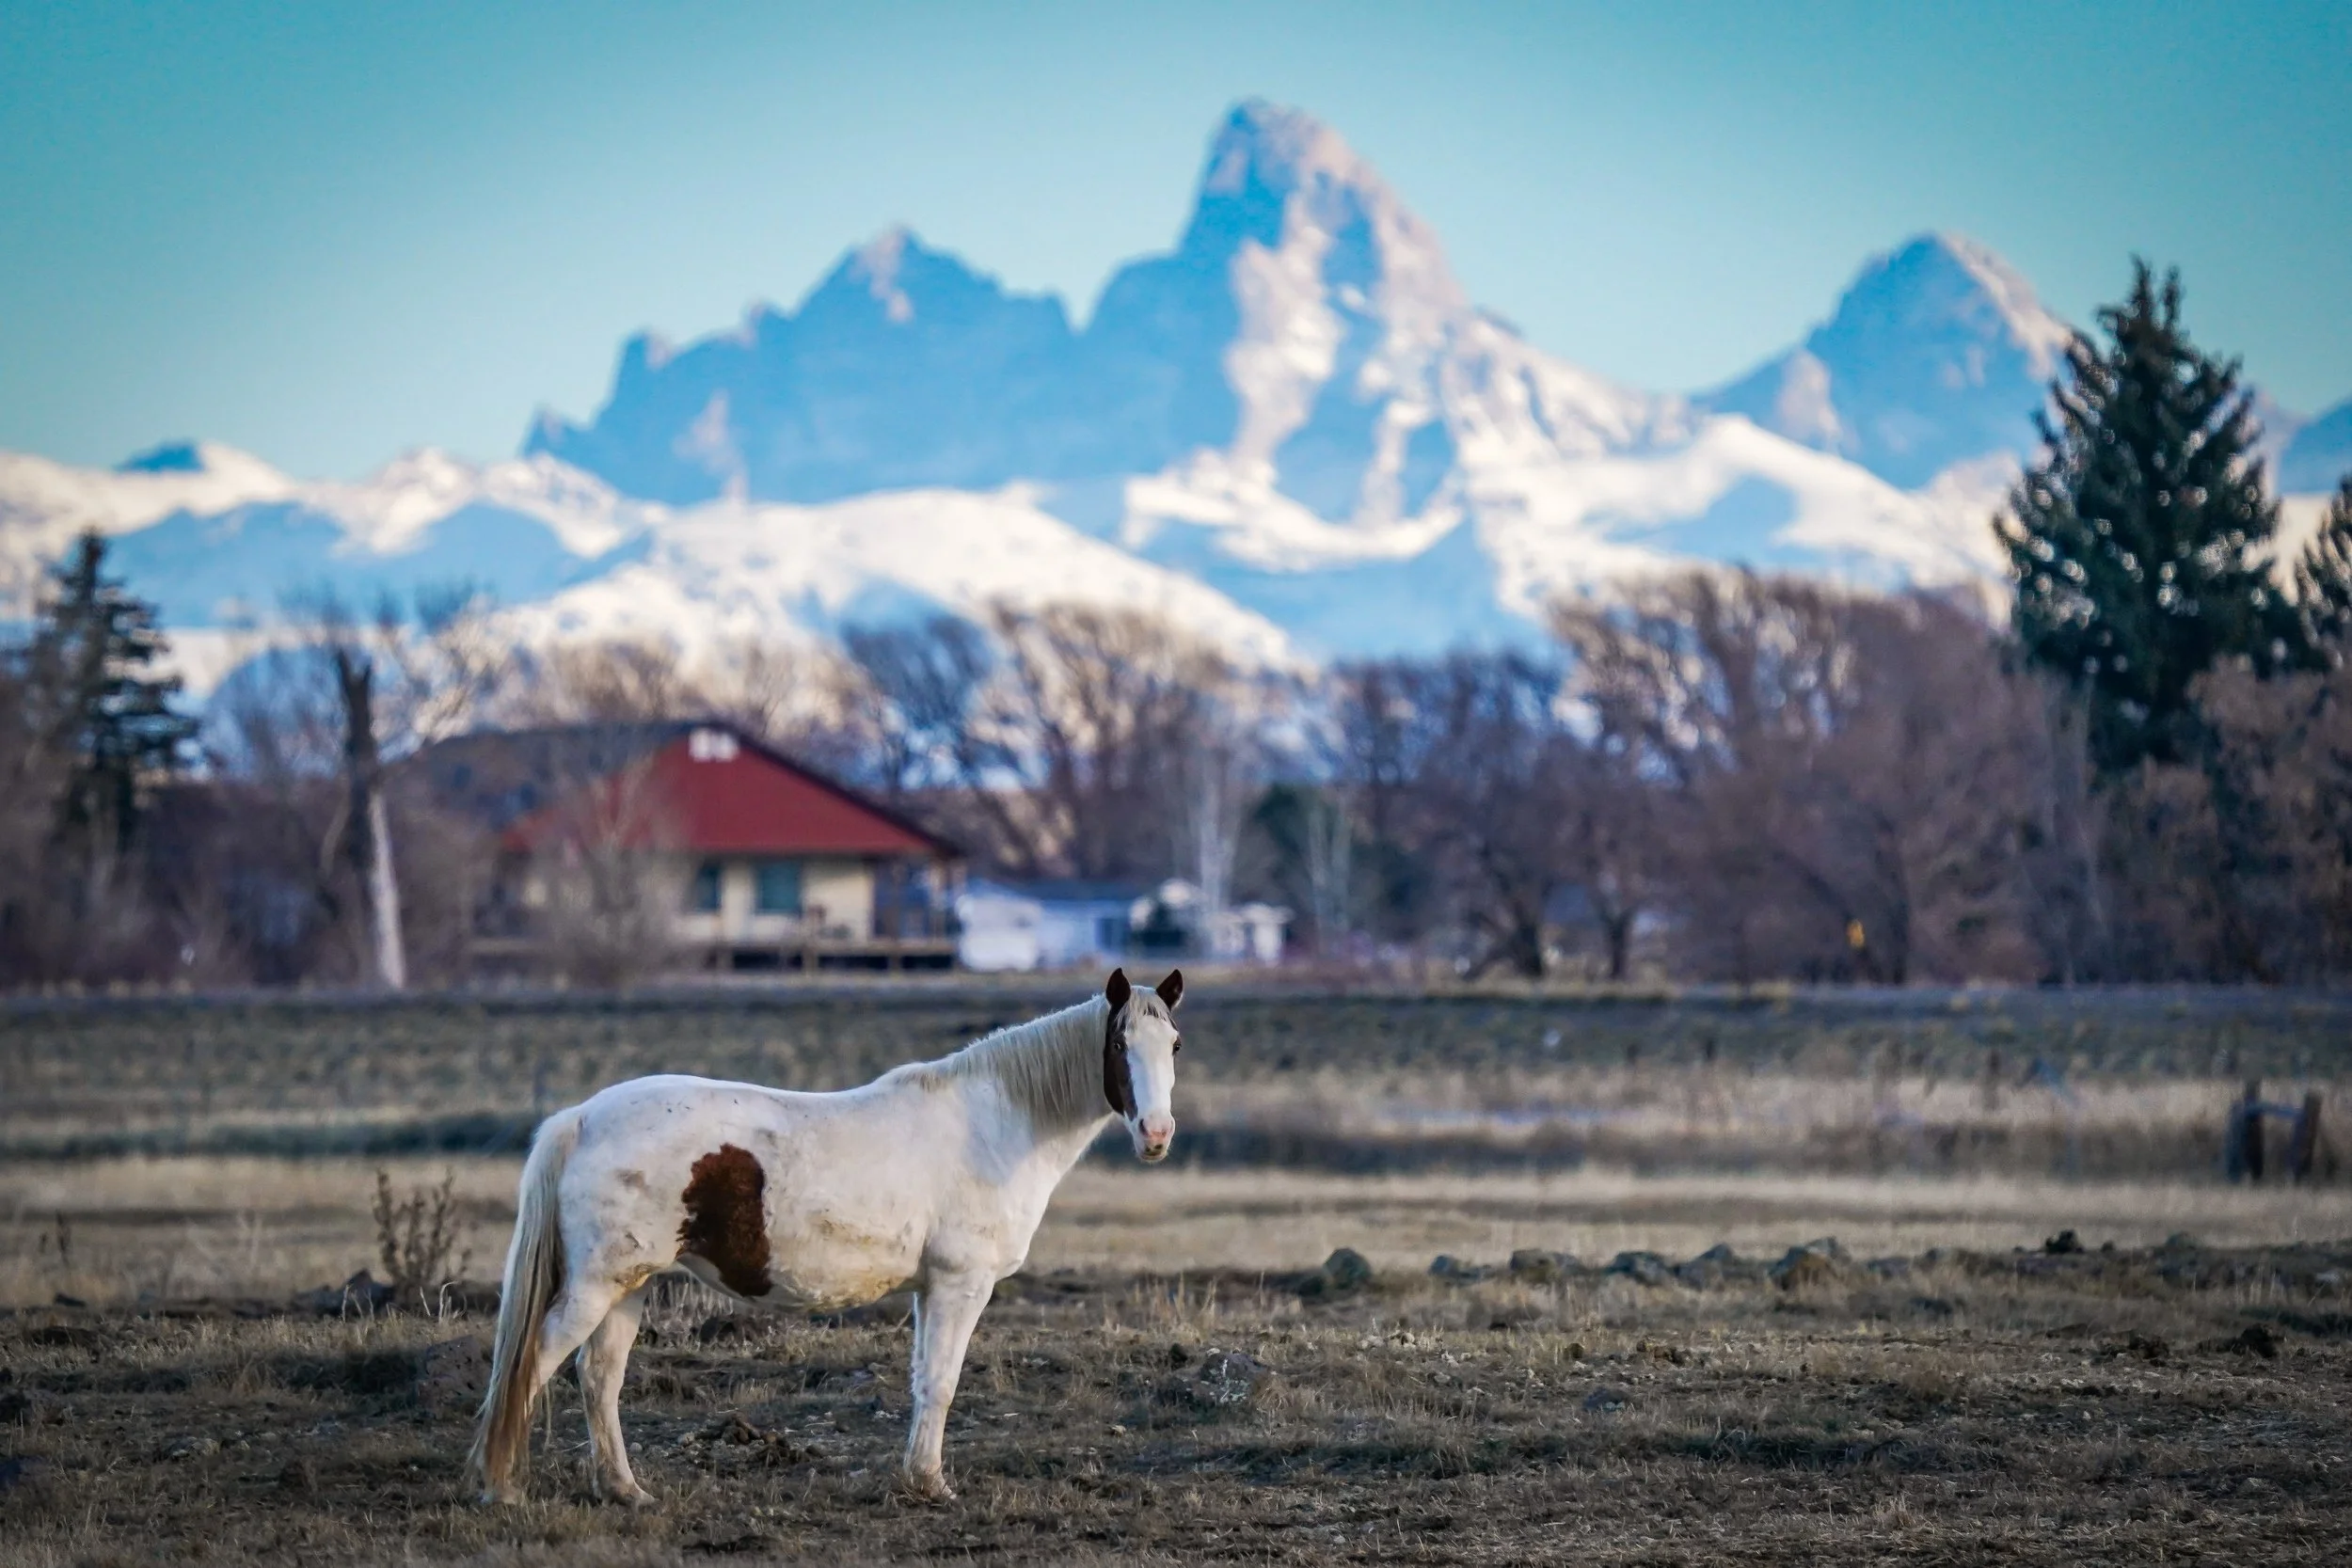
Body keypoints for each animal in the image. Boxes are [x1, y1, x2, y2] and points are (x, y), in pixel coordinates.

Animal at [470, 966, 1185, 1506]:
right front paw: (933, 1485)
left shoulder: (930, 1289)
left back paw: (625, 1491)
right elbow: (944, 1382)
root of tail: (583, 1117)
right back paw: (501, 1486)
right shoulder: (961, 1285)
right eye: (1118, 1045)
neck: (996, 1123)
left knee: (600, 1379)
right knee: (533, 1364)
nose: (1156, 1134)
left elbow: (924, 1380)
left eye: (1174, 1045)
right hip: (596, 1286)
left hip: (629, 1286)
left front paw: (916, 1478)